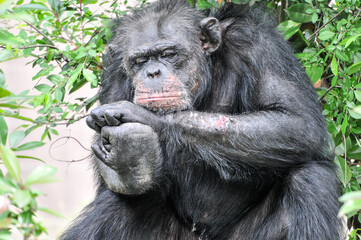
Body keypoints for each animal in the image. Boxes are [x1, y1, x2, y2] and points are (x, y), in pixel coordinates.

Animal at [61, 0, 344, 240]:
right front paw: (130, 157)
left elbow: (296, 120)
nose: (152, 72)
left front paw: (143, 119)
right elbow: (106, 187)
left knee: (310, 179)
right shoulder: (114, 71)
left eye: (169, 53)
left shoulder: (255, 42)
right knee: (115, 203)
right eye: (140, 60)